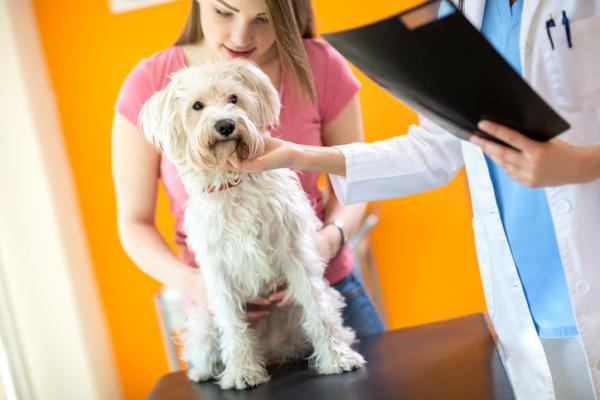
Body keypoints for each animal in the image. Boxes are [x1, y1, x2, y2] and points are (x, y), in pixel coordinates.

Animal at [141, 60, 366, 390]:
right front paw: (242, 372)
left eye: (233, 98)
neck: (233, 185)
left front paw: (337, 357)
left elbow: (318, 310)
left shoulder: (295, 252)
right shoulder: (219, 272)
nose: (225, 125)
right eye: (197, 106)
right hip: (204, 320)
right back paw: (205, 370)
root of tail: (273, 351)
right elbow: (234, 328)